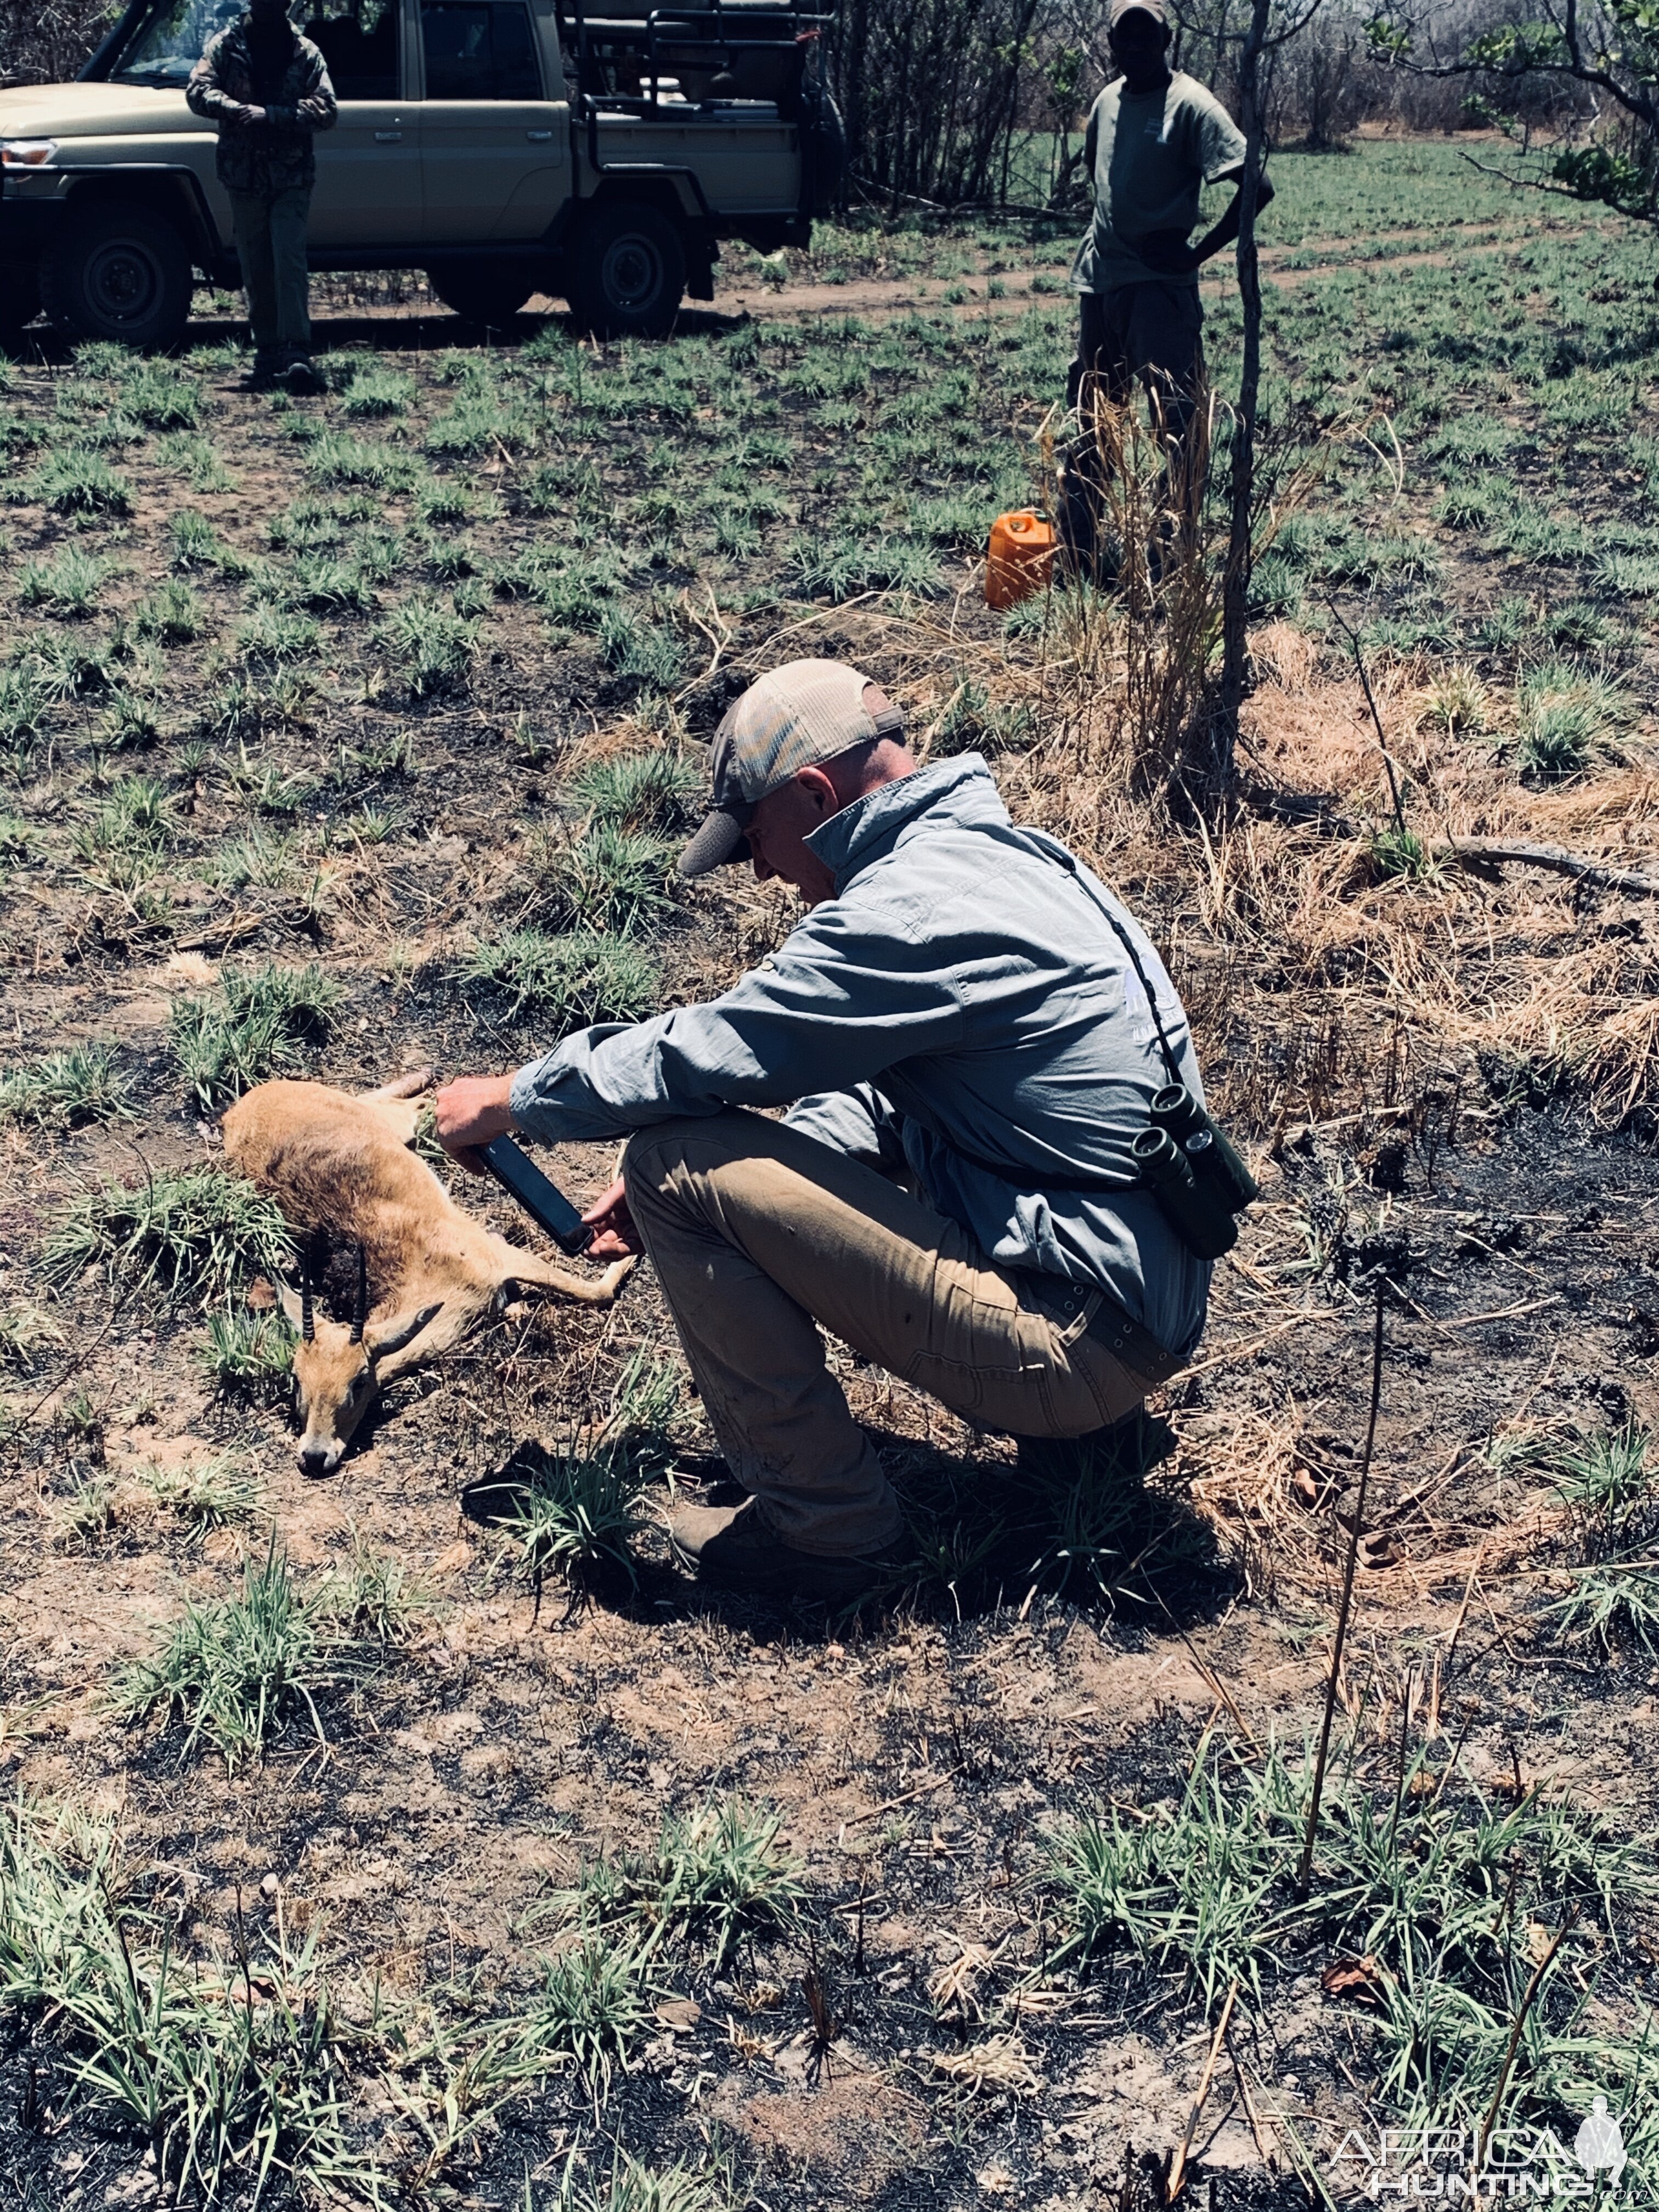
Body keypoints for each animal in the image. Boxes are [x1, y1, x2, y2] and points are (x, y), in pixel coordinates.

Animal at [222, 1075, 637, 1477]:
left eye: (359, 1380)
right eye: (296, 1377)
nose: (314, 1455)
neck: (437, 1282)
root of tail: (241, 1109)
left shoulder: (499, 1257)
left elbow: (598, 1290)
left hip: (391, 1122)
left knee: (414, 1103)